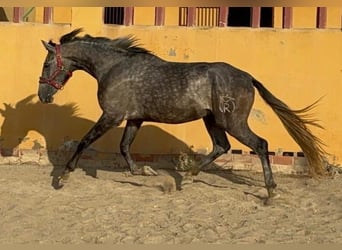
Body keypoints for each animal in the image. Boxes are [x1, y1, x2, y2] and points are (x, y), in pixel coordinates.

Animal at [37, 28, 326, 197]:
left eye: (47, 63)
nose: (43, 96)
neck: (114, 68)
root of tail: (247, 77)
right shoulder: (134, 118)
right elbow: (125, 147)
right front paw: (145, 172)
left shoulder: (112, 116)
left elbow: (85, 140)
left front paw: (63, 176)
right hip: (213, 120)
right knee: (221, 146)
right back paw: (186, 179)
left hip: (232, 121)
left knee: (260, 144)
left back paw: (270, 190)